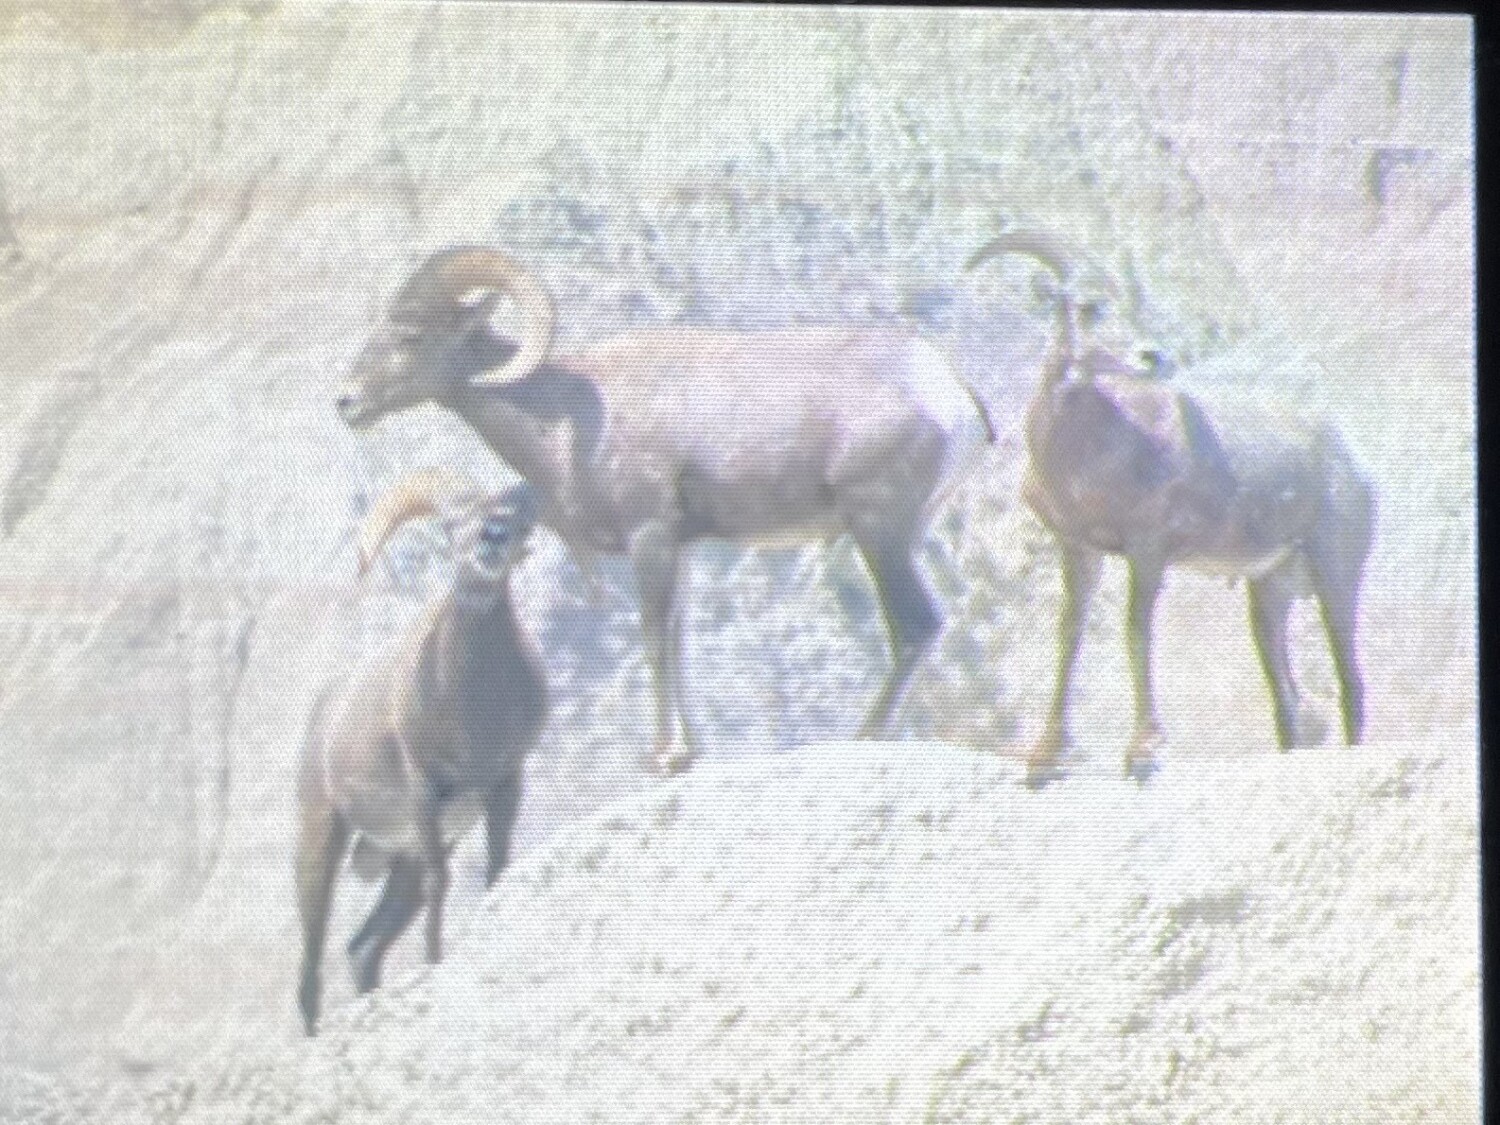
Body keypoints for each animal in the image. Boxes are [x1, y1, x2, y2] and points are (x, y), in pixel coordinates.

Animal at [296, 469, 547, 1036]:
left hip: (399, 863)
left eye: (515, 521)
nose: (492, 539)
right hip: (321, 840)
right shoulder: (425, 796)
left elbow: (497, 867)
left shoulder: (504, 785)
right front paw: (435, 960)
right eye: (452, 524)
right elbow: (442, 884)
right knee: (311, 959)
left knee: (363, 948)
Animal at [336, 248, 995, 774]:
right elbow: (677, 641)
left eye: (411, 335)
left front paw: (666, 756)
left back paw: (863, 735)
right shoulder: (683, 548)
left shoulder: (649, 536)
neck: (565, 414)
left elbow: (654, 638)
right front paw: (688, 750)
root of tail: (952, 395)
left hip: (879, 533)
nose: (347, 402)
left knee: (916, 626)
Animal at [966, 231, 1374, 786]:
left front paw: (1143, 750)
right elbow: (1070, 635)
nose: (1152, 356)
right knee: (1289, 699)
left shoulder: (1148, 552)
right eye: (1088, 305)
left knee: (1351, 680)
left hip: (1335, 579)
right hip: (1269, 595)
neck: (1092, 451)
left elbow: (1137, 632)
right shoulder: (1079, 550)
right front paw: (1046, 755)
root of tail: (1355, 467)